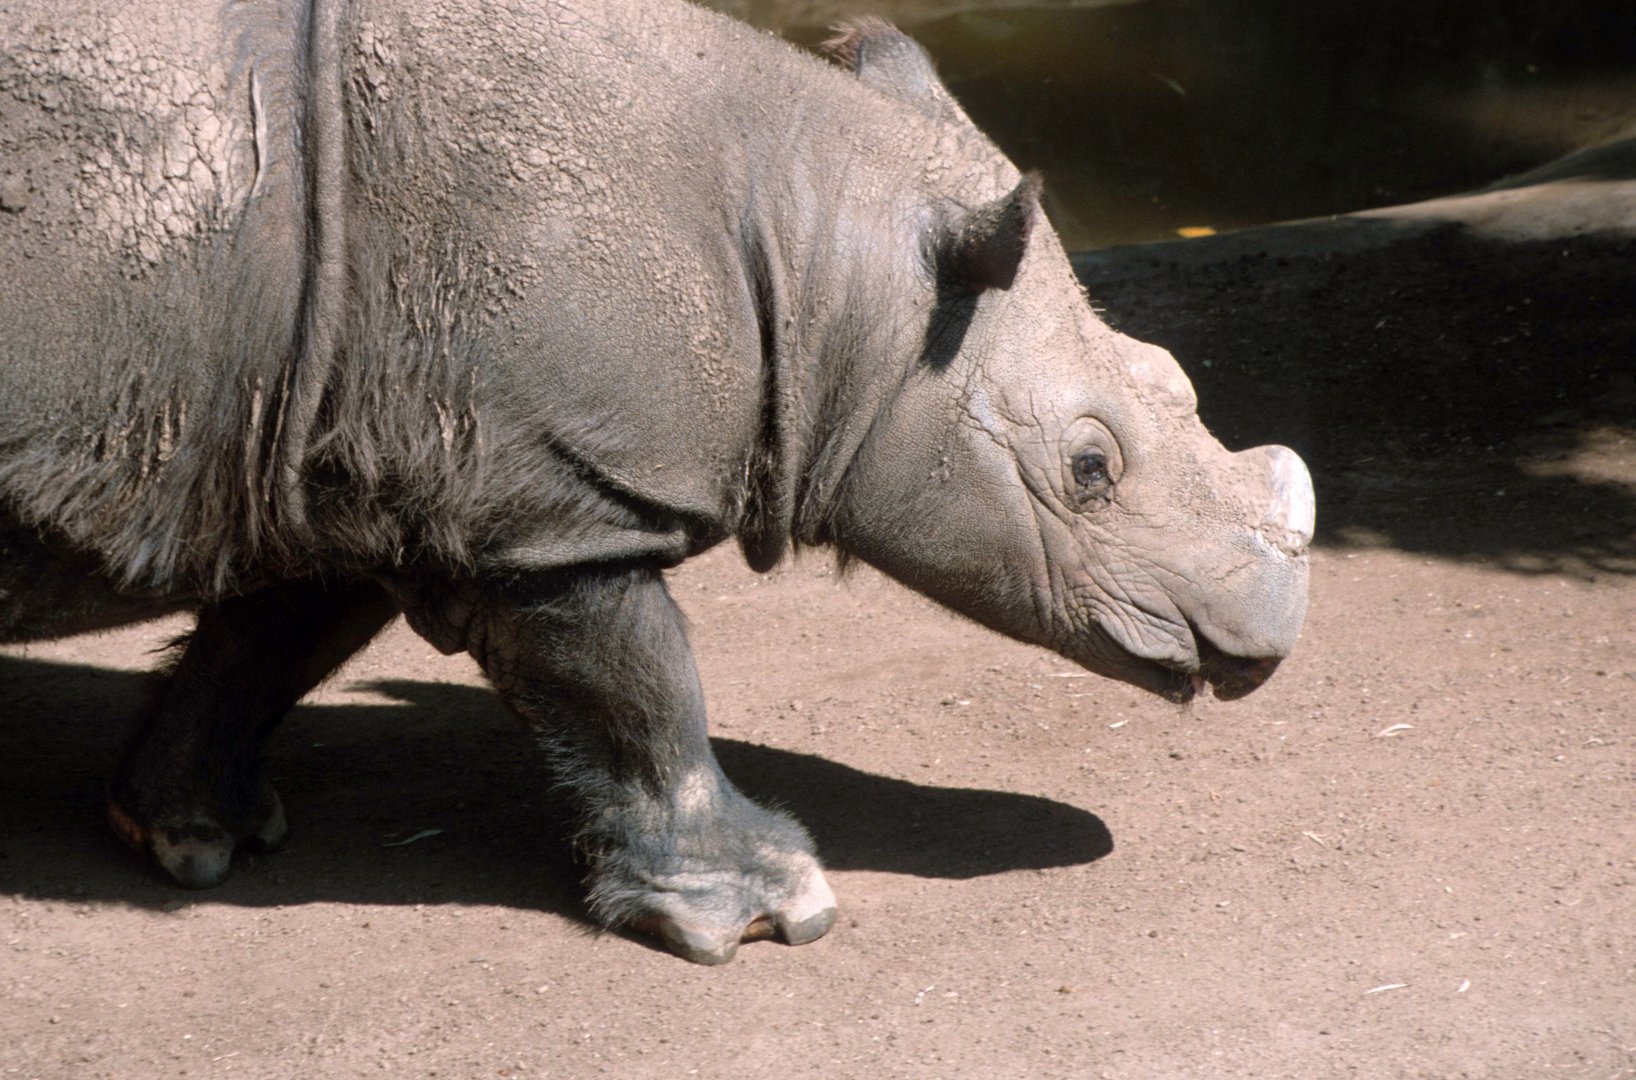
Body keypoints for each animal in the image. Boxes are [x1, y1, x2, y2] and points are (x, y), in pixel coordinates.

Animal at [0, 1, 1313, 963]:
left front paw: (192, 838)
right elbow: (639, 690)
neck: (823, 264)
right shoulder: (554, 502)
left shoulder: (350, 438)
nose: (1268, 640)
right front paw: (769, 914)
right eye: (1089, 470)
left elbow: (275, 636)